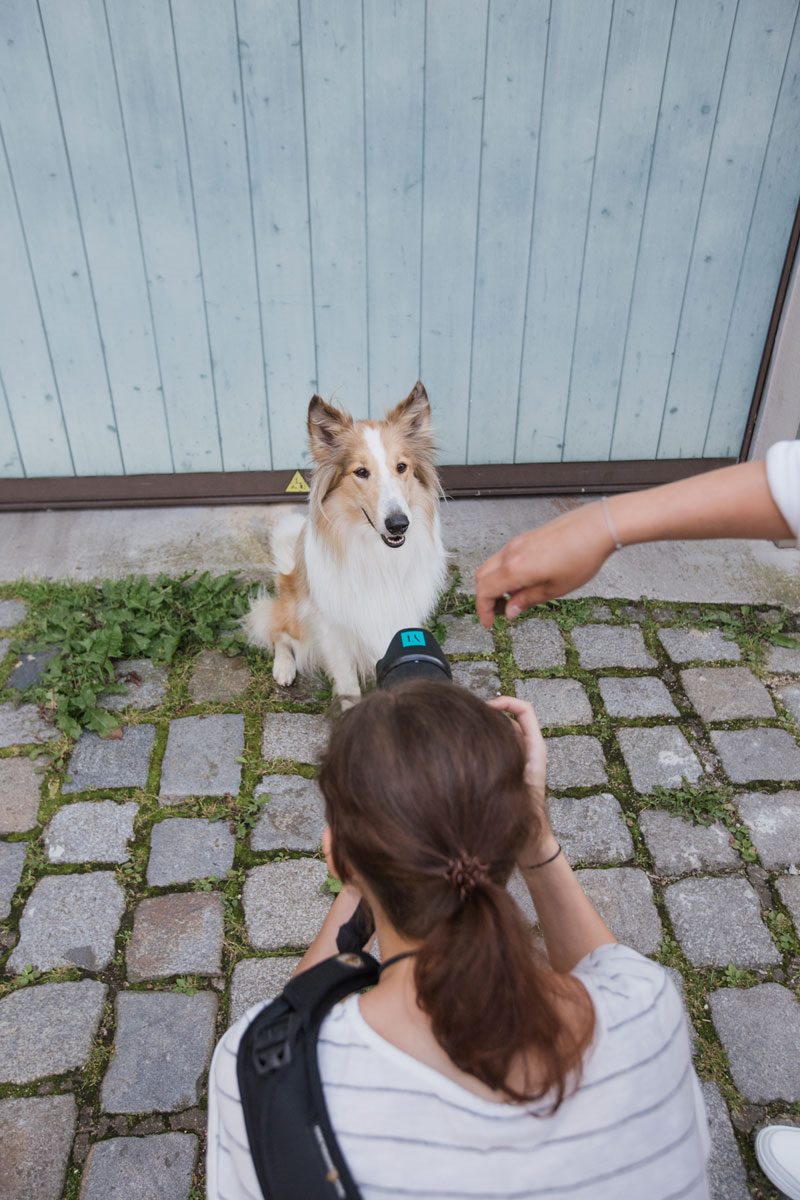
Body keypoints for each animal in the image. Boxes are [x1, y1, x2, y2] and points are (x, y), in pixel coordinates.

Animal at [244, 384, 448, 700]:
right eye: (361, 472)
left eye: (402, 467)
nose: (399, 524)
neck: (377, 553)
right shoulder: (331, 629)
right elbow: (348, 684)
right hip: (294, 608)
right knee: (276, 630)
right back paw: (284, 667)